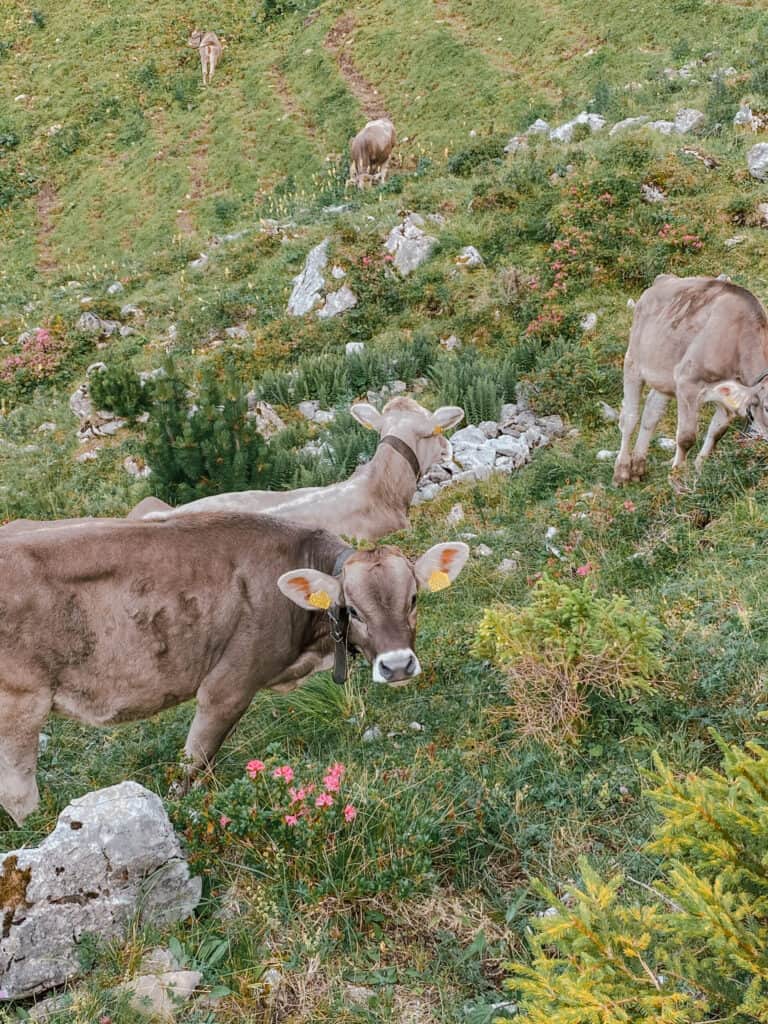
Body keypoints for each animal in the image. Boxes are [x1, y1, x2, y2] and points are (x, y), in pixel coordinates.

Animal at [0, 512, 468, 823]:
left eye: (413, 598)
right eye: (352, 609)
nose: (397, 665)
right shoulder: (228, 685)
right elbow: (194, 764)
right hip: (20, 703)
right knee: (19, 794)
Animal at [618, 270, 768, 481]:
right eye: (767, 407)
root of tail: (663, 279)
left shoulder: (725, 398)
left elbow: (717, 432)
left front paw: (699, 470)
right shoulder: (688, 382)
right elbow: (686, 437)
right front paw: (677, 476)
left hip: (665, 376)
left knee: (651, 413)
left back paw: (638, 466)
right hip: (633, 361)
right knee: (629, 417)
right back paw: (622, 471)